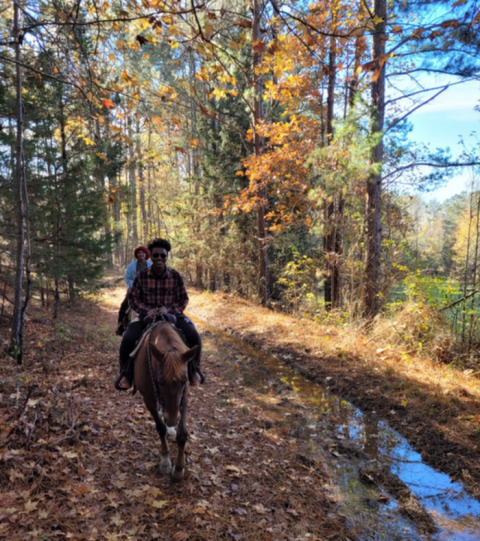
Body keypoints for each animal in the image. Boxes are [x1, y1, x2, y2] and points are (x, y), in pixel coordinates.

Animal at [133, 320, 199, 480]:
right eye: (160, 382)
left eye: (184, 381)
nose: (172, 419)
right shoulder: (148, 400)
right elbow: (160, 428)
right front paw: (165, 461)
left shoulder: (184, 397)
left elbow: (182, 433)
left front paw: (179, 468)